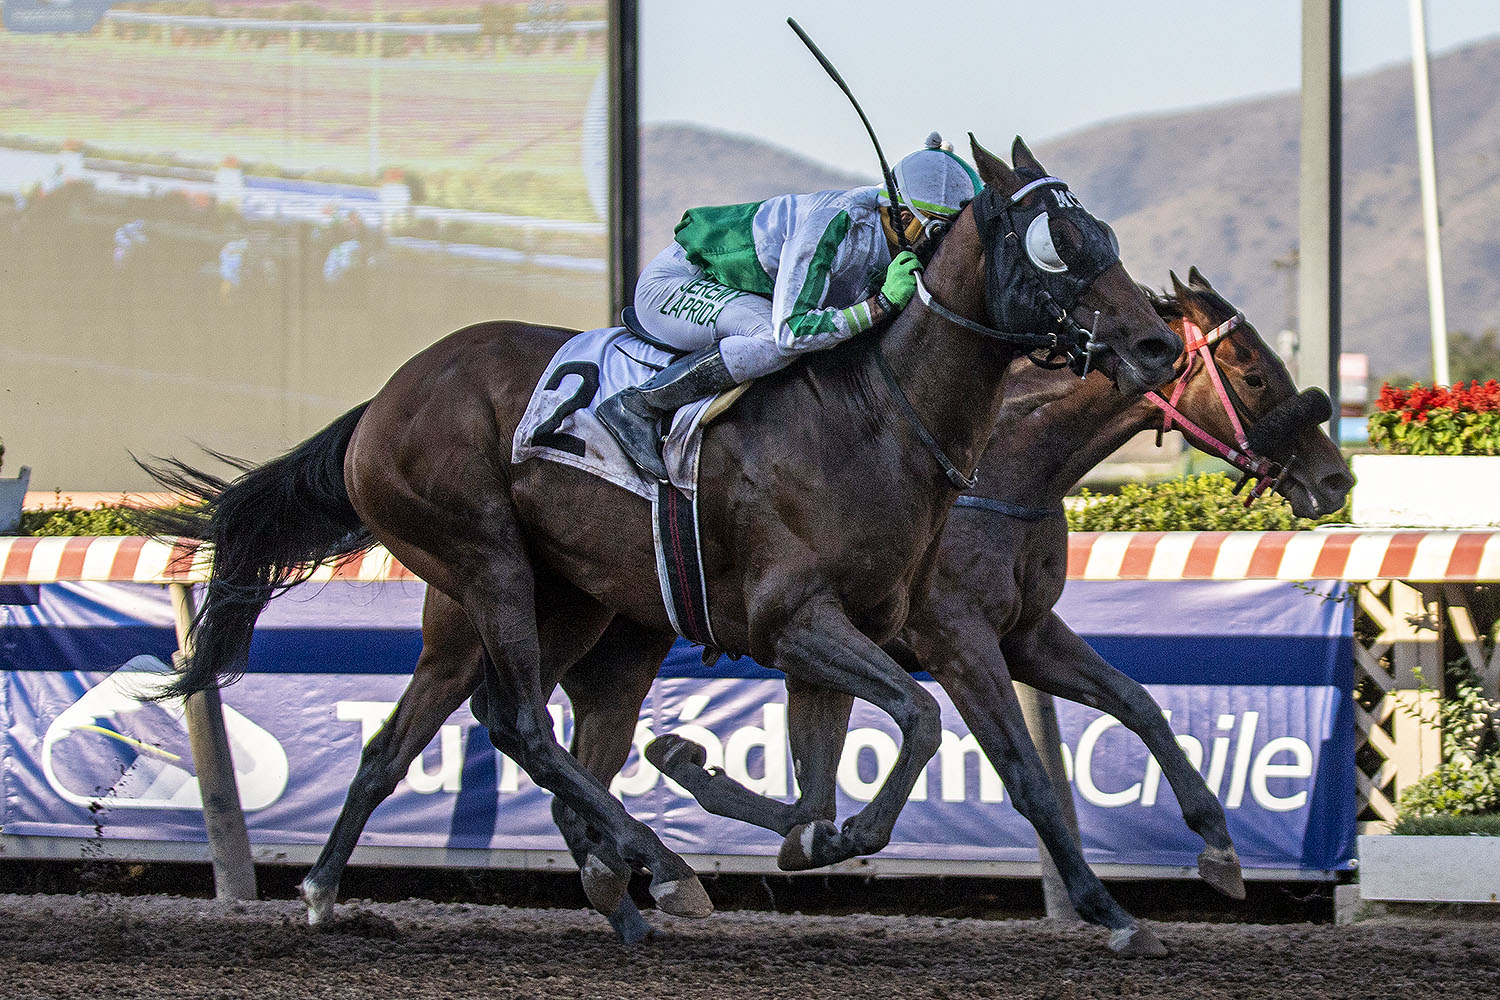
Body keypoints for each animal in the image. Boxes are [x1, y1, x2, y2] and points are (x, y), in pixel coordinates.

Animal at [138, 135, 1182, 946]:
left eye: (1108, 235)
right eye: (1060, 243)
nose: (1158, 346)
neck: (878, 420)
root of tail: (382, 402)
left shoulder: (832, 638)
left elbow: (820, 795)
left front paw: (762, 808)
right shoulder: (810, 621)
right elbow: (927, 726)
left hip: (558, 610)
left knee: (420, 739)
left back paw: (344, 890)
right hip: (487, 563)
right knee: (521, 725)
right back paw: (662, 868)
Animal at [289, 268, 1348, 955]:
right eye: (1253, 371)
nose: (1334, 477)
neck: (986, 464)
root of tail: (382, 403)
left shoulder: (1022, 632)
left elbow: (1139, 702)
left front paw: (1216, 846)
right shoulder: (952, 639)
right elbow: (1020, 773)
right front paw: (1105, 906)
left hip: (585, 627)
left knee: (444, 743)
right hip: (494, 584)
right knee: (509, 727)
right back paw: (649, 872)